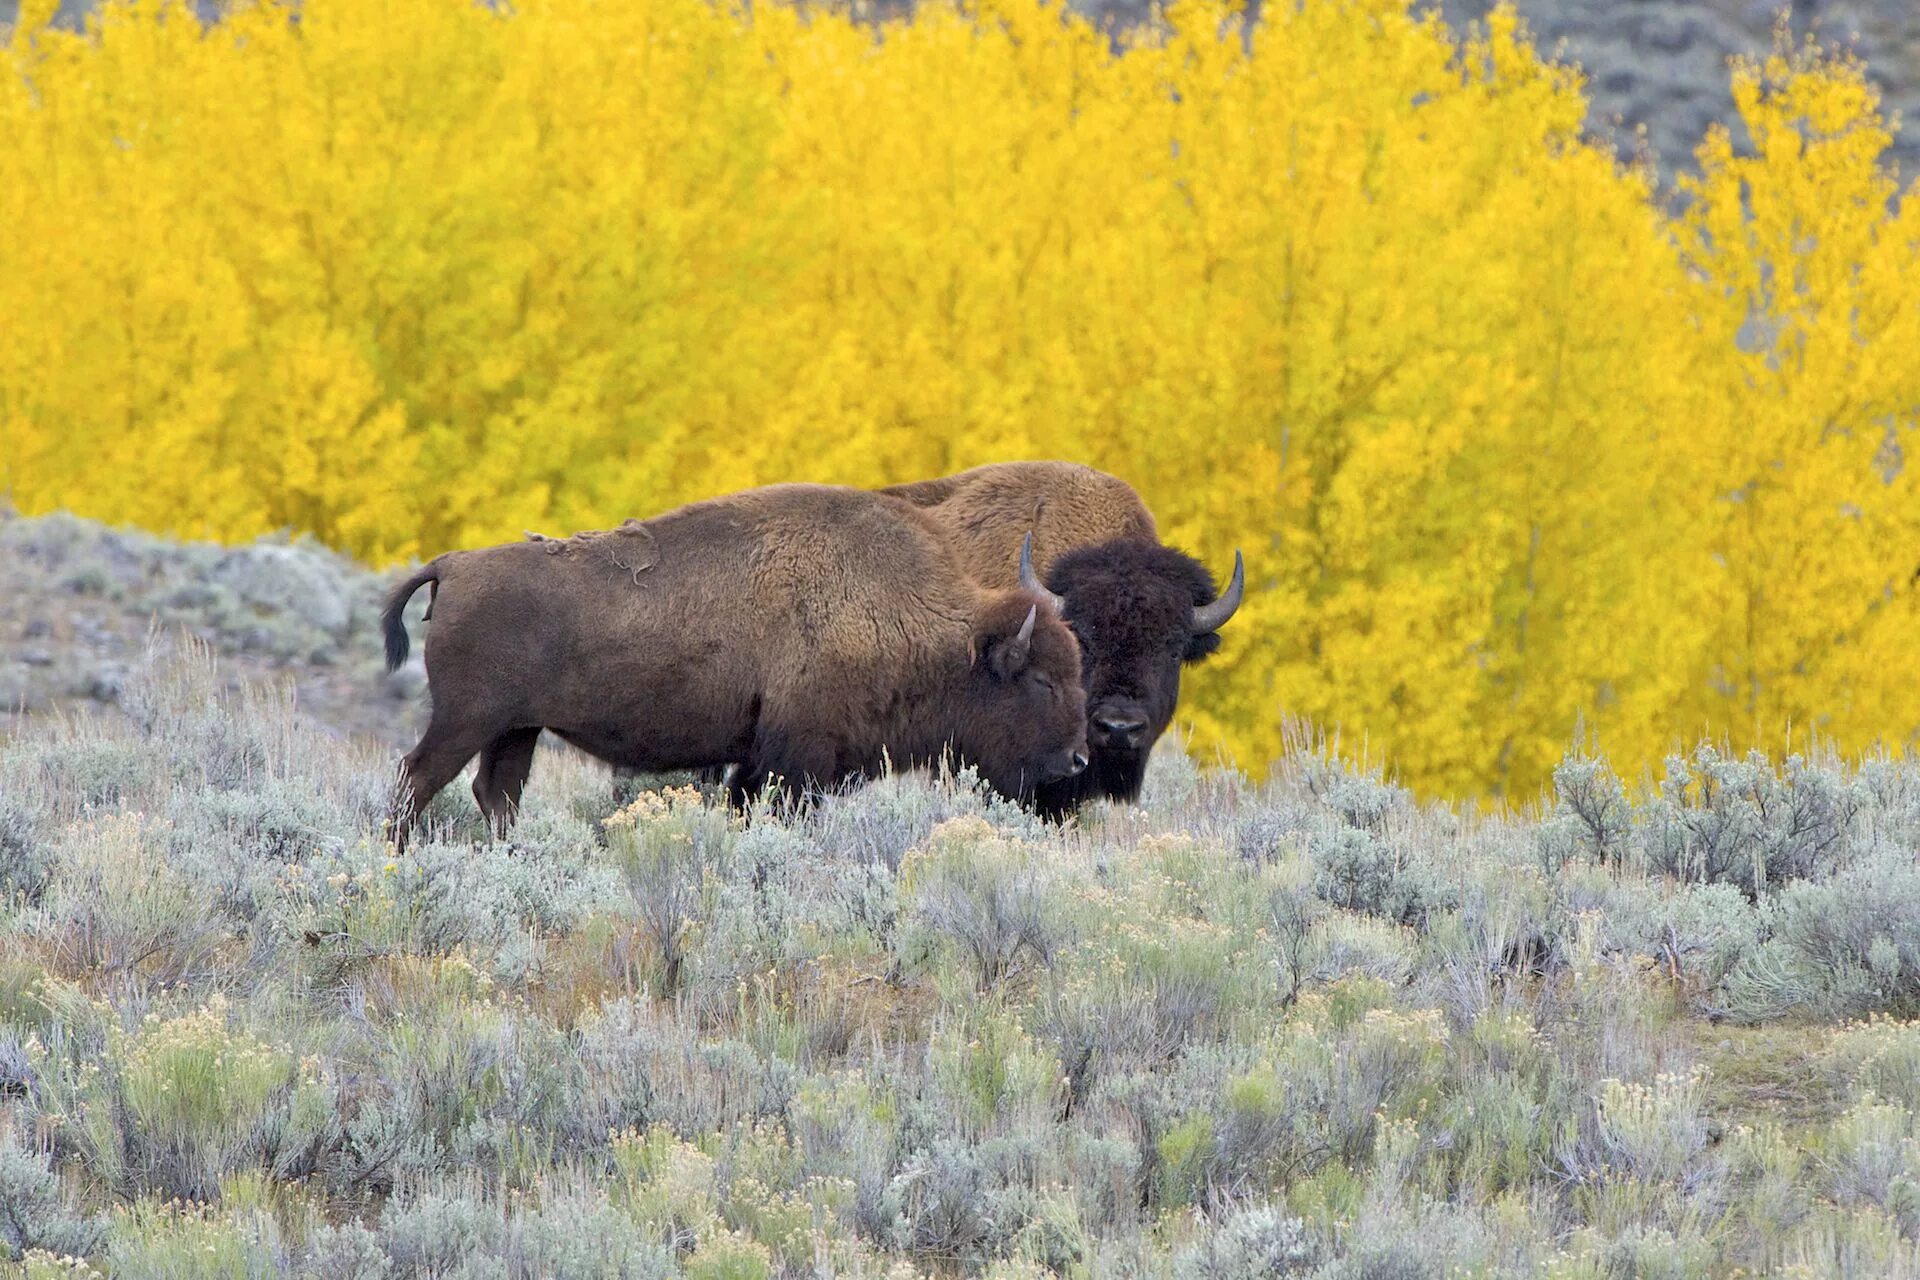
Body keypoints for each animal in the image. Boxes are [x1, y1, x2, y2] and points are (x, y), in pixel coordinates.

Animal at [380, 479, 1090, 840]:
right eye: (1042, 681)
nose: (1079, 759)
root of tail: (454, 565)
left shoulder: (763, 765)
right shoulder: (798, 762)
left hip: (515, 730)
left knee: (494, 791)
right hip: (466, 721)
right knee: (416, 779)